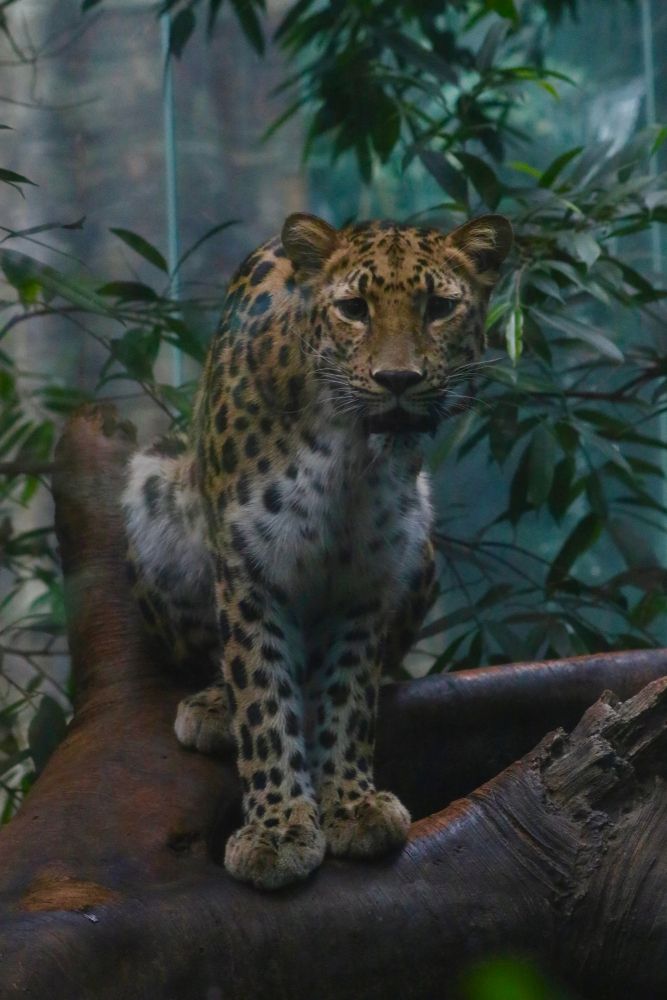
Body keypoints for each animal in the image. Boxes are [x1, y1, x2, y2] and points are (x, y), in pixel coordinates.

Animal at [122, 211, 513, 890]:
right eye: (354, 309)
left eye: (439, 307)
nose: (398, 381)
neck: (353, 455)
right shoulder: (249, 566)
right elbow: (260, 695)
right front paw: (276, 830)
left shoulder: (368, 578)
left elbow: (347, 697)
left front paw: (352, 806)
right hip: (155, 490)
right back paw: (213, 706)